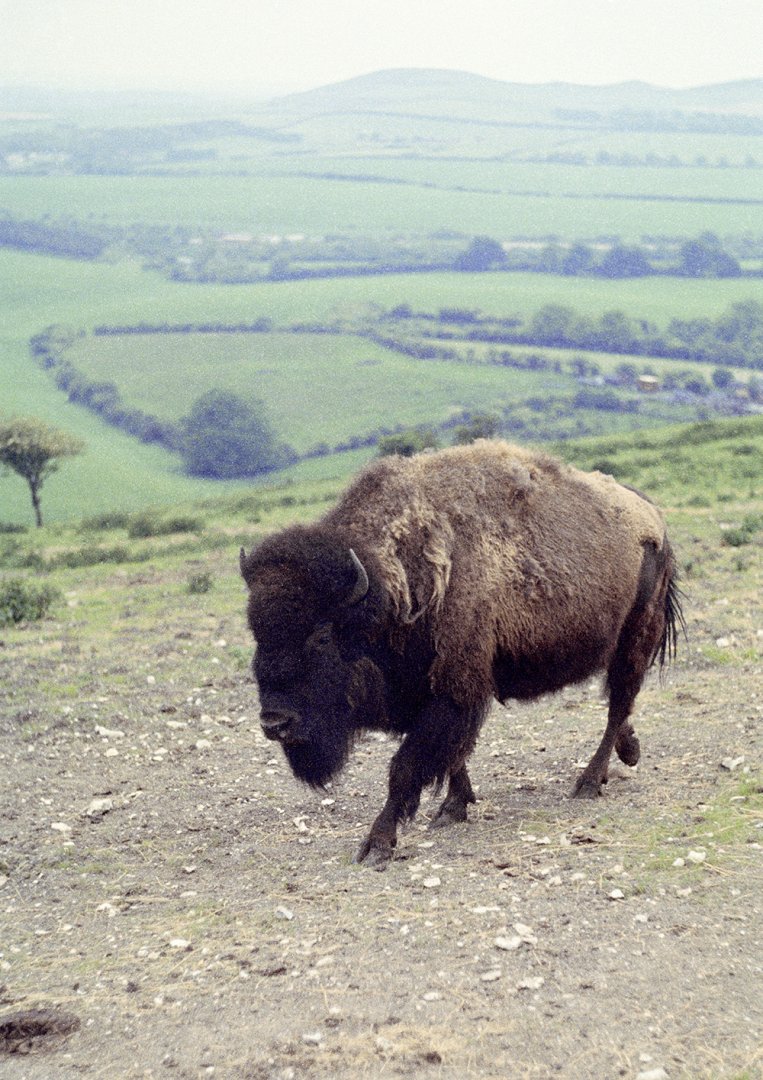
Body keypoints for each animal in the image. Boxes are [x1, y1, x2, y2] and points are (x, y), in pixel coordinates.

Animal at [240, 440, 682, 869]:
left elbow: (405, 767)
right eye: (256, 631)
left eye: (321, 636)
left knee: (617, 705)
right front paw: (454, 807)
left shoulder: (454, 691)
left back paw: (588, 782)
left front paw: (377, 844)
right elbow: (452, 757)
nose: (275, 723)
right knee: (620, 707)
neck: (392, 586)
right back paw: (628, 751)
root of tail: (652, 516)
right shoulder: (432, 695)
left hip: (636, 638)